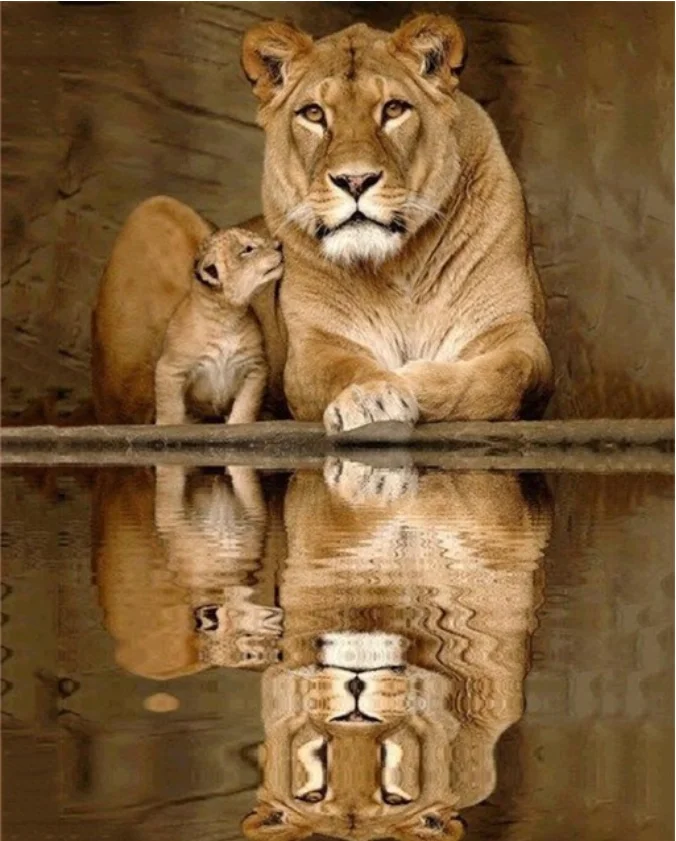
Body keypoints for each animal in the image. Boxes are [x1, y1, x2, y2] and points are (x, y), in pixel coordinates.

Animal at [91, 14, 552, 429]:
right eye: (314, 114)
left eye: (394, 109)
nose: (355, 180)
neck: (400, 266)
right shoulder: (312, 348)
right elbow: (344, 369)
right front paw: (373, 397)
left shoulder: (517, 334)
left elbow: (505, 377)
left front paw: (411, 379)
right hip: (155, 211)